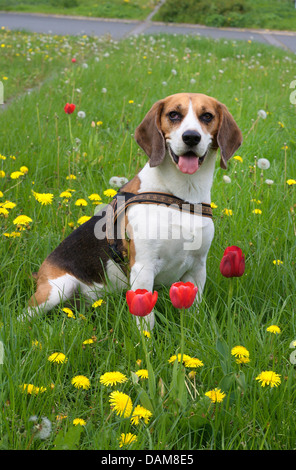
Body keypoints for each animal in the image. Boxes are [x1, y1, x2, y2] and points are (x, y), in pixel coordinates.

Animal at [26, 92, 243, 326]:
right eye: (173, 115)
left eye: (207, 116)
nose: (191, 137)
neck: (182, 195)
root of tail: (41, 274)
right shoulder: (143, 268)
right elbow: (146, 320)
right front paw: (146, 336)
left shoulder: (197, 268)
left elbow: (193, 310)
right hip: (57, 290)